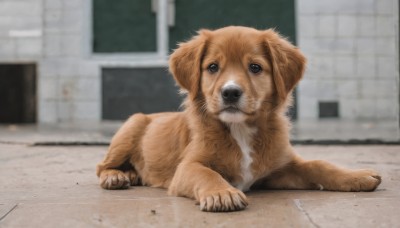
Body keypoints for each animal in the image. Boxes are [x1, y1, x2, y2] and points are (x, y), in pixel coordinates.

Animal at [97, 26, 382, 212]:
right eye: (212, 67)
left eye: (255, 67)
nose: (231, 92)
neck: (240, 130)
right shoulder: (187, 167)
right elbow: (206, 173)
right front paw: (222, 193)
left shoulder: (280, 169)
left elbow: (319, 165)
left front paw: (356, 176)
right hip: (131, 126)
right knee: (102, 166)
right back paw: (117, 177)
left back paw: (131, 174)